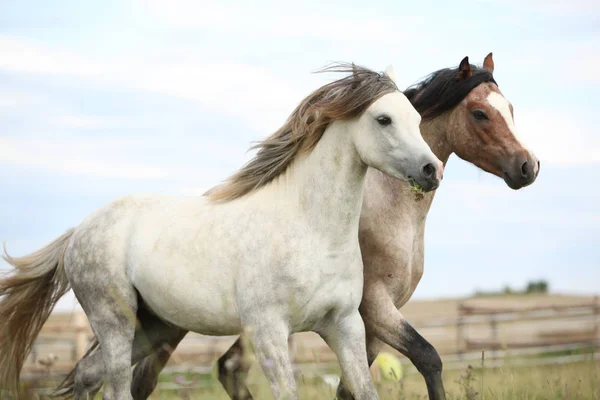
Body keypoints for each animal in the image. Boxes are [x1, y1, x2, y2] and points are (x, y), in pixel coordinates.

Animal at [0, 65, 440, 400]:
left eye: (417, 120)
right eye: (383, 119)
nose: (431, 170)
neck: (312, 230)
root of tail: (78, 231)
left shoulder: (345, 325)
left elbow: (365, 390)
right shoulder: (268, 331)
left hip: (155, 326)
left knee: (87, 374)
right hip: (114, 321)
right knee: (115, 387)